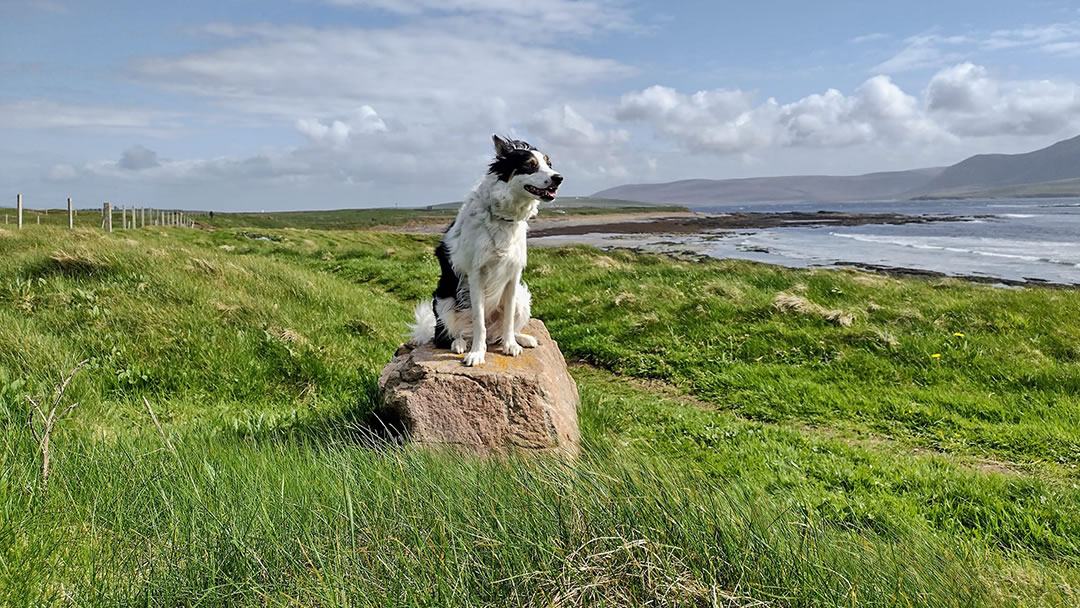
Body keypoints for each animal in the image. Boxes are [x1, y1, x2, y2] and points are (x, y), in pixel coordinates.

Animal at [406, 134, 565, 367]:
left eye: (549, 164)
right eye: (529, 165)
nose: (558, 178)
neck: (503, 217)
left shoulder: (513, 275)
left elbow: (507, 320)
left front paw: (510, 345)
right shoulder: (476, 275)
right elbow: (478, 321)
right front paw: (477, 353)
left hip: (522, 297)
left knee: (498, 331)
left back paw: (521, 338)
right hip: (443, 301)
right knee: (447, 335)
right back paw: (459, 344)